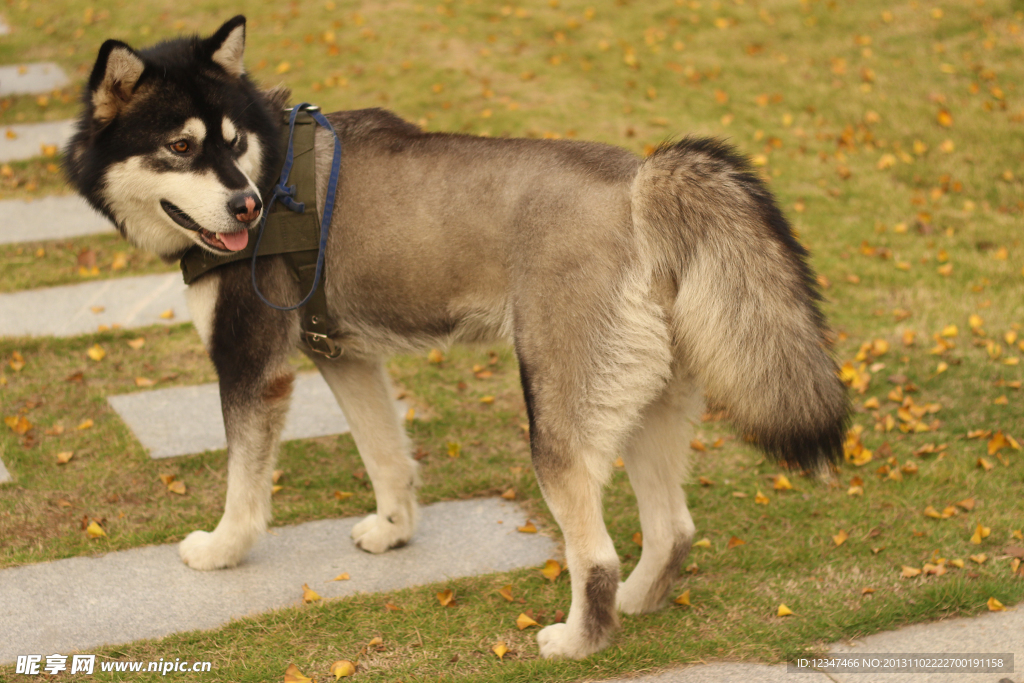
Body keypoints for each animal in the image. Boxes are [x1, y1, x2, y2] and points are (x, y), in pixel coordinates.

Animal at [66, 14, 847, 655]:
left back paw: (578, 641)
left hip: (556, 418)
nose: (246, 205)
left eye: (230, 145)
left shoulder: (250, 366)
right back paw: (636, 603)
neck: (273, 166)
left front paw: (223, 548)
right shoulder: (346, 356)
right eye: (180, 146)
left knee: (595, 557)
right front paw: (394, 529)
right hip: (647, 404)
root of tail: (640, 184)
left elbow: (244, 481)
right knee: (672, 530)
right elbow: (385, 454)